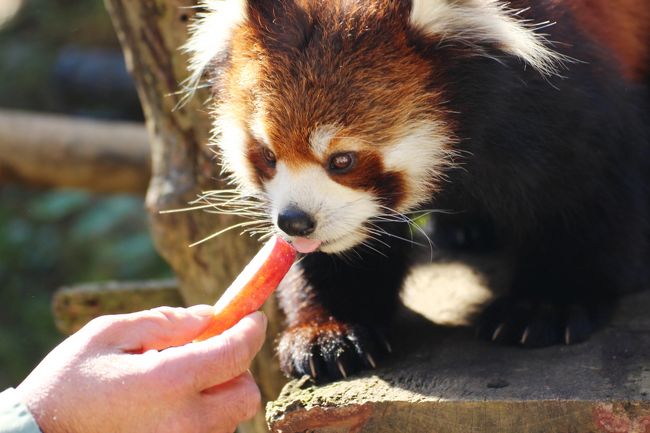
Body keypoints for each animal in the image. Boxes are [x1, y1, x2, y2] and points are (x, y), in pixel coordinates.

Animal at [185, 0, 648, 380]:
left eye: (342, 160)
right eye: (267, 155)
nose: (295, 222)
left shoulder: (559, 98)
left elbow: (582, 200)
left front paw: (546, 304)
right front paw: (330, 329)